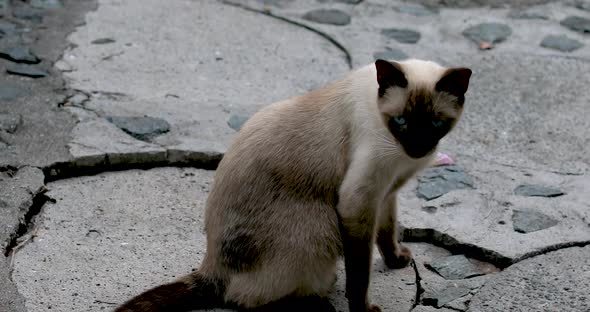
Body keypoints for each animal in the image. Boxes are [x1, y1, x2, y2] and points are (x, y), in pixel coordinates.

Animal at [115, 58, 472, 312]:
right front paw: (364, 309)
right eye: (400, 122)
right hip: (322, 226)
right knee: (243, 299)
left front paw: (397, 260)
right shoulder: (360, 200)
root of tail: (212, 267)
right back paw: (317, 299)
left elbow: (387, 232)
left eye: (435, 124)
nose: (418, 148)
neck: (401, 157)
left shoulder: (386, 193)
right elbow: (360, 273)